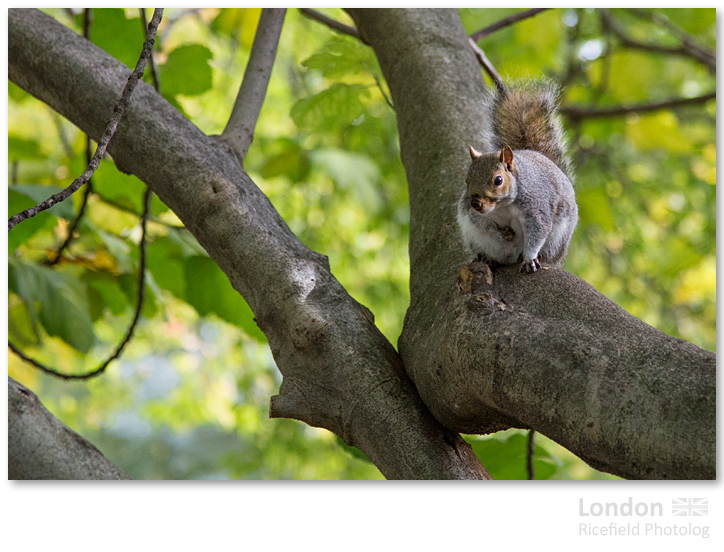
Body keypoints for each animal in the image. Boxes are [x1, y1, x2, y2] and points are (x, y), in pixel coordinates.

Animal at [456, 78, 580, 272]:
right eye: (466, 180)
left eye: (498, 180)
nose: (475, 203)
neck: (502, 207)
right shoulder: (472, 214)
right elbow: (481, 222)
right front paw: (501, 231)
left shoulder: (537, 210)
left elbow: (536, 235)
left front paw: (529, 259)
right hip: (474, 238)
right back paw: (486, 257)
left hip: (558, 240)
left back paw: (536, 257)